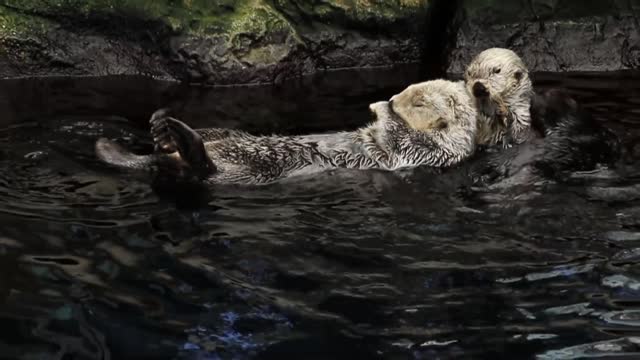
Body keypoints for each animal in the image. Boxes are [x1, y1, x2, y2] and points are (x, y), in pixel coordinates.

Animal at [94, 80, 476, 184]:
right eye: (411, 90)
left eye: (419, 102)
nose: (395, 98)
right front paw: (379, 105)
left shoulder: (425, 151)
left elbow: (400, 138)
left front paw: (382, 108)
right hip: (225, 132)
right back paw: (161, 127)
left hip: (246, 171)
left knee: (201, 169)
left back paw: (177, 138)